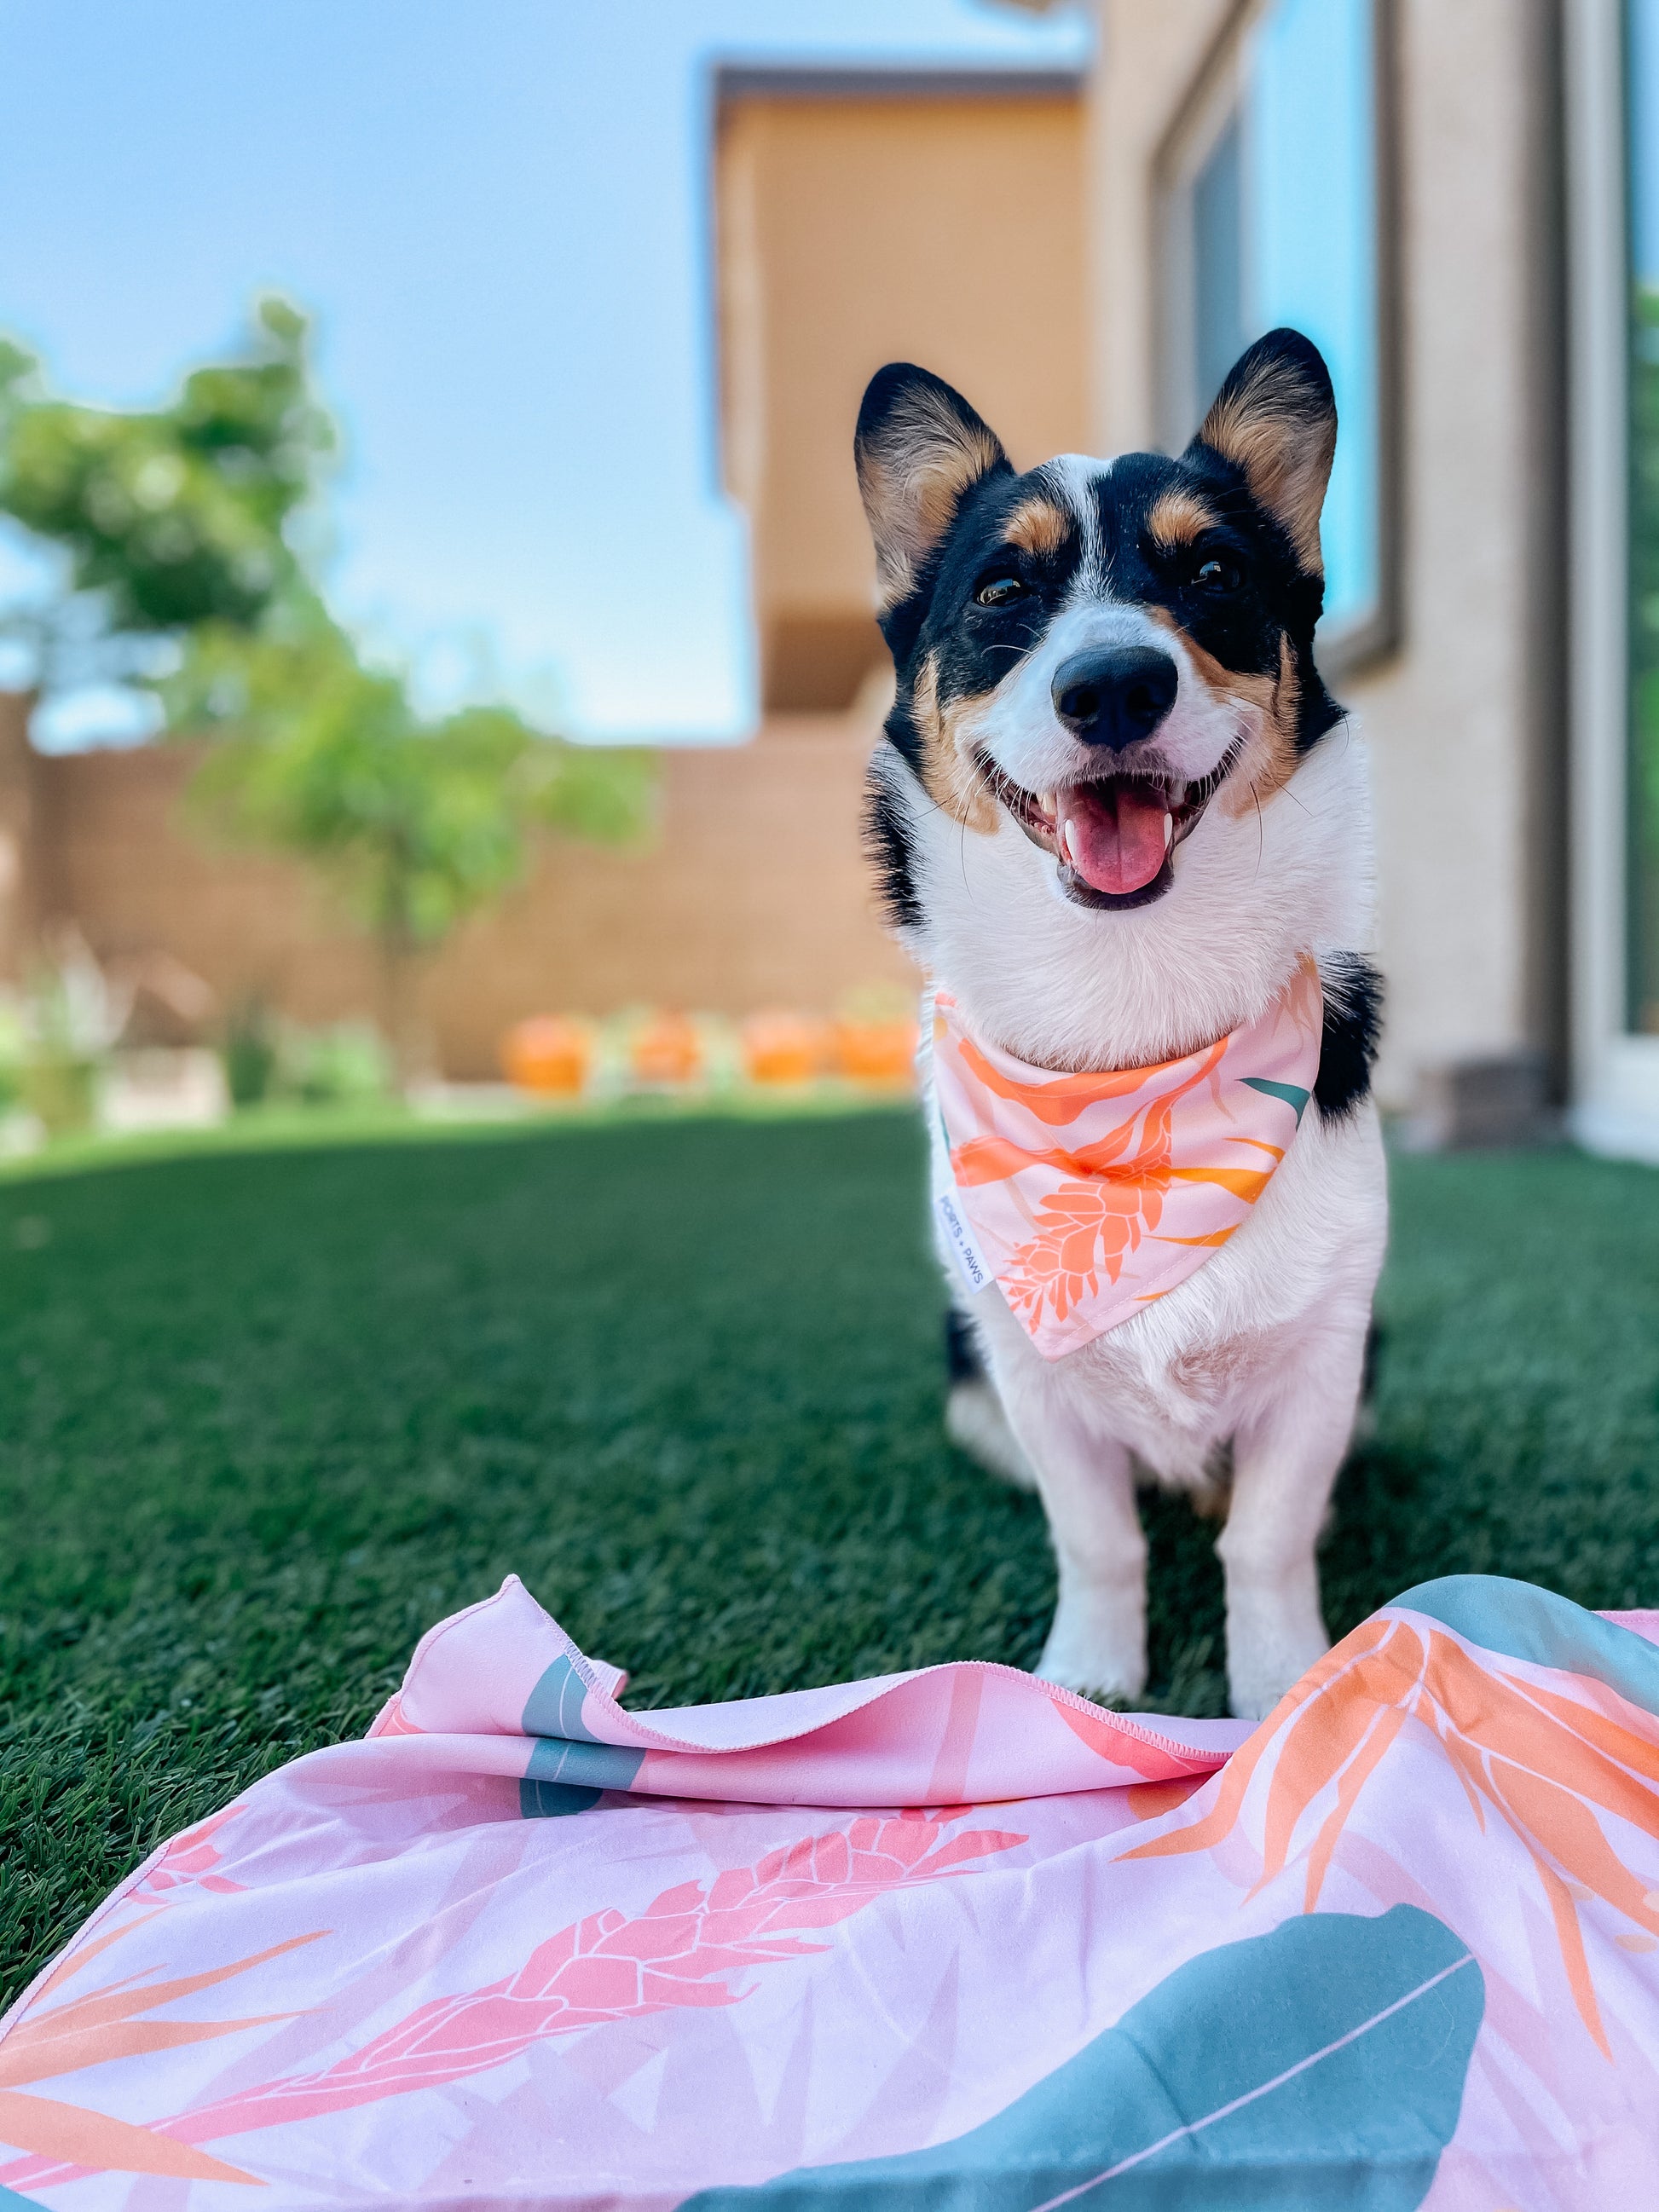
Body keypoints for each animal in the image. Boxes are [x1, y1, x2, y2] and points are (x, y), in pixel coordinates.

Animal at [854, 328, 1386, 1722]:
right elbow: (1094, 1536)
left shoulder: (1322, 1364)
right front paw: (1087, 1682)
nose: (1109, 685)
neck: (1130, 1025)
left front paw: (1280, 1684)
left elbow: (1265, 1537)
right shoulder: (1027, 1371)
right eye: (1000, 591)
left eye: (1210, 574)